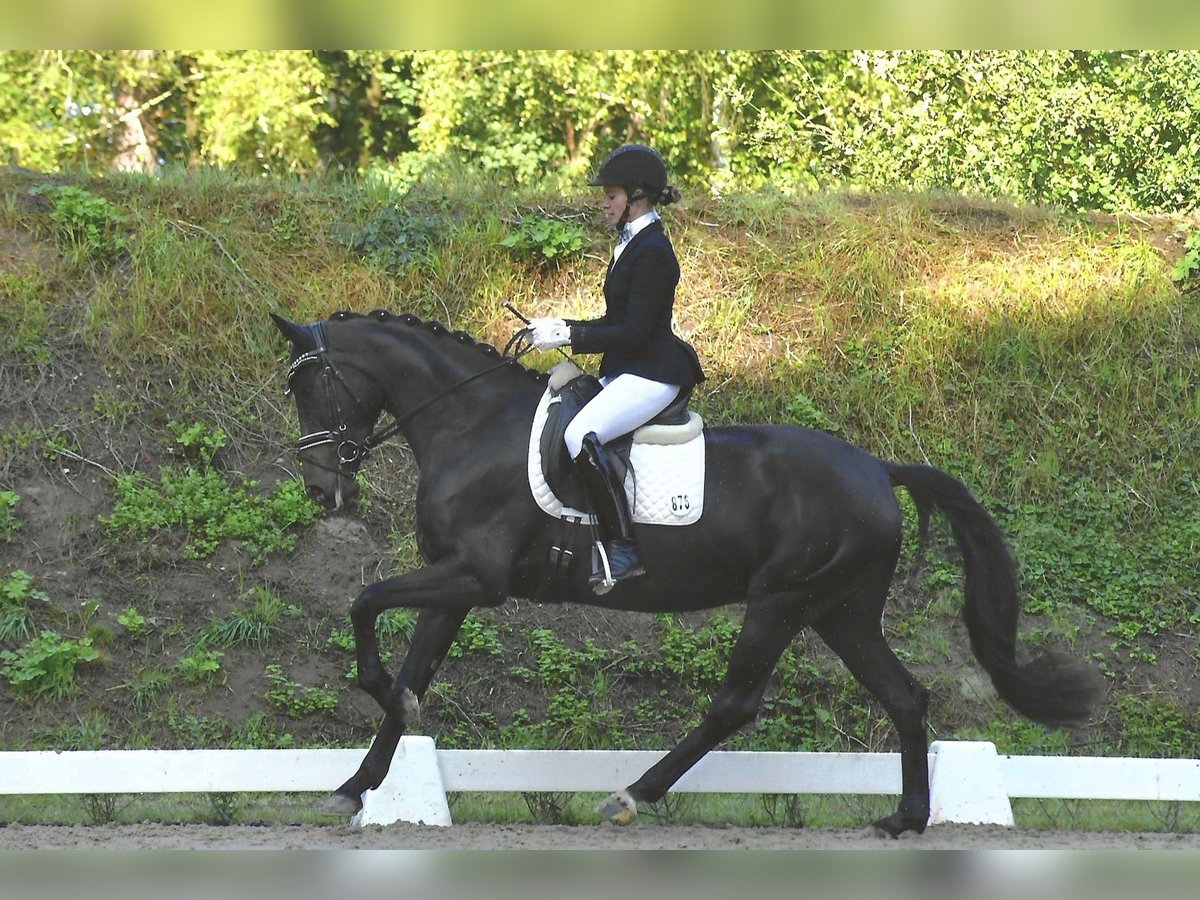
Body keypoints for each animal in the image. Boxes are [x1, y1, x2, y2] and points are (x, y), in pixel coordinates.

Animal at [274, 309, 1104, 840]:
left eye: (312, 387)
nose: (321, 490)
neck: (471, 426)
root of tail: (878, 468)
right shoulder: (453, 583)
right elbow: (411, 664)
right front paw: (355, 786)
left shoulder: (475, 578)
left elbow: (364, 603)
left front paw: (379, 714)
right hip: (840, 610)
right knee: (905, 696)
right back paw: (905, 818)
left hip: (782, 600)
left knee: (735, 704)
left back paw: (631, 796)